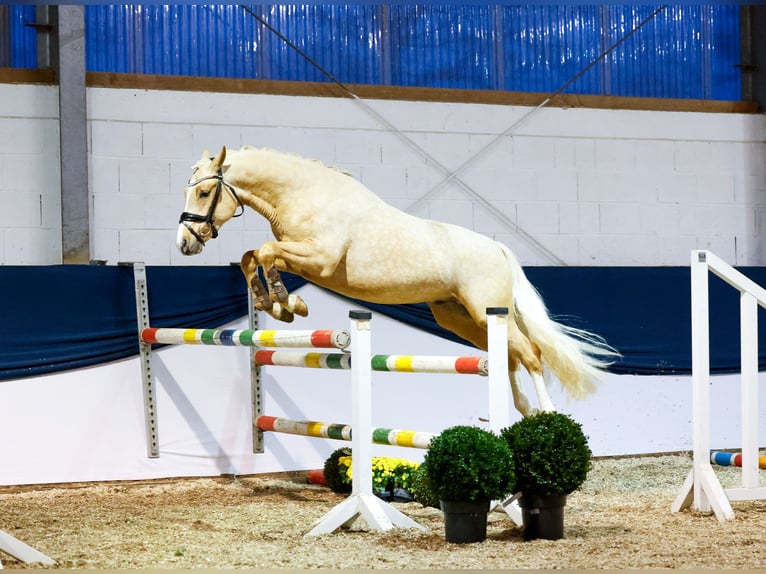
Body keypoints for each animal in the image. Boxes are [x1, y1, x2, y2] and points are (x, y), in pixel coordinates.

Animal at [178, 146, 616, 416]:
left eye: (204, 192)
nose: (185, 243)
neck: (305, 195)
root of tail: (497, 249)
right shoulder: (301, 258)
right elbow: (251, 257)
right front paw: (273, 303)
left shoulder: (318, 260)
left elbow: (267, 254)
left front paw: (288, 305)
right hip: (460, 318)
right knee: (508, 355)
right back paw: (523, 412)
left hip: (487, 310)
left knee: (531, 354)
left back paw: (546, 414)